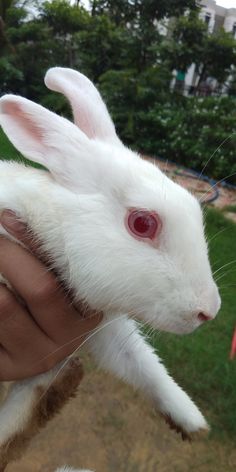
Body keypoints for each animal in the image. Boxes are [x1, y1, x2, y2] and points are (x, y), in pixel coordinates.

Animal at [0, 67, 220, 472]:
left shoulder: (103, 330)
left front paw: (192, 422)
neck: (51, 220)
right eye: (143, 223)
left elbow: (143, 365)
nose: (208, 312)